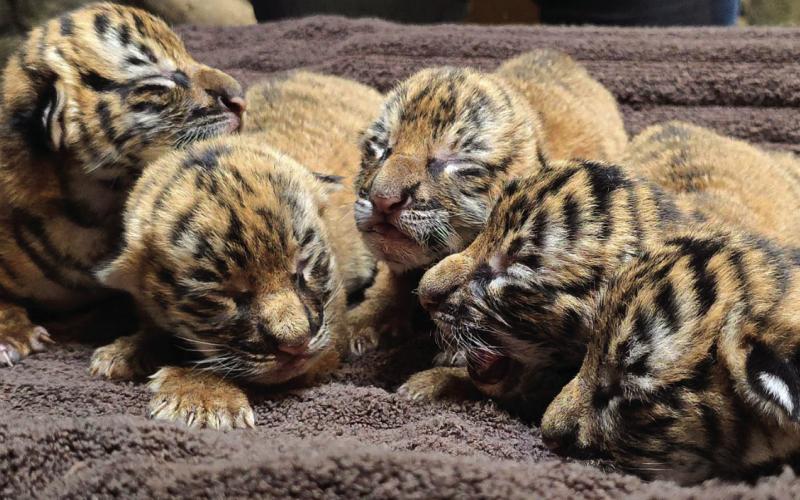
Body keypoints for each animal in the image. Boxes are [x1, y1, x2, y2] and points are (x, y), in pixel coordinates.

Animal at [90, 72, 385, 429]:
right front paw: (123, 352)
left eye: (302, 270)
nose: (296, 343)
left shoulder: (327, 340)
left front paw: (199, 396)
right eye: (225, 295)